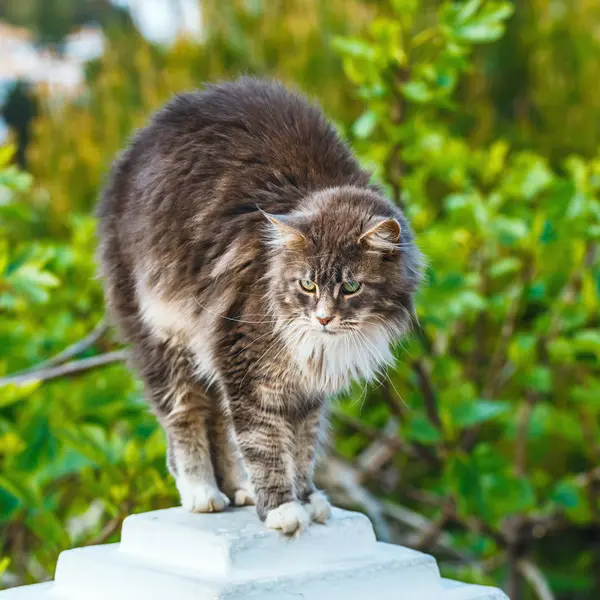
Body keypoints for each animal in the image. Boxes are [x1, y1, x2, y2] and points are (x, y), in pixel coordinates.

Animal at [96, 76, 420, 536]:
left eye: (351, 287)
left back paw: (235, 490)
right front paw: (282, 509)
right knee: (186, 417)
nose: (323, 318)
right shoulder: (248, 368)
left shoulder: (302, 391)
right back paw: (202, 493)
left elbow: (301, 447)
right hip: (165, 337)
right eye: (307, 284)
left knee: (216, 420)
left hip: (204, 351)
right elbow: (264, 445)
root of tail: (131, 153)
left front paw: (307, 498)